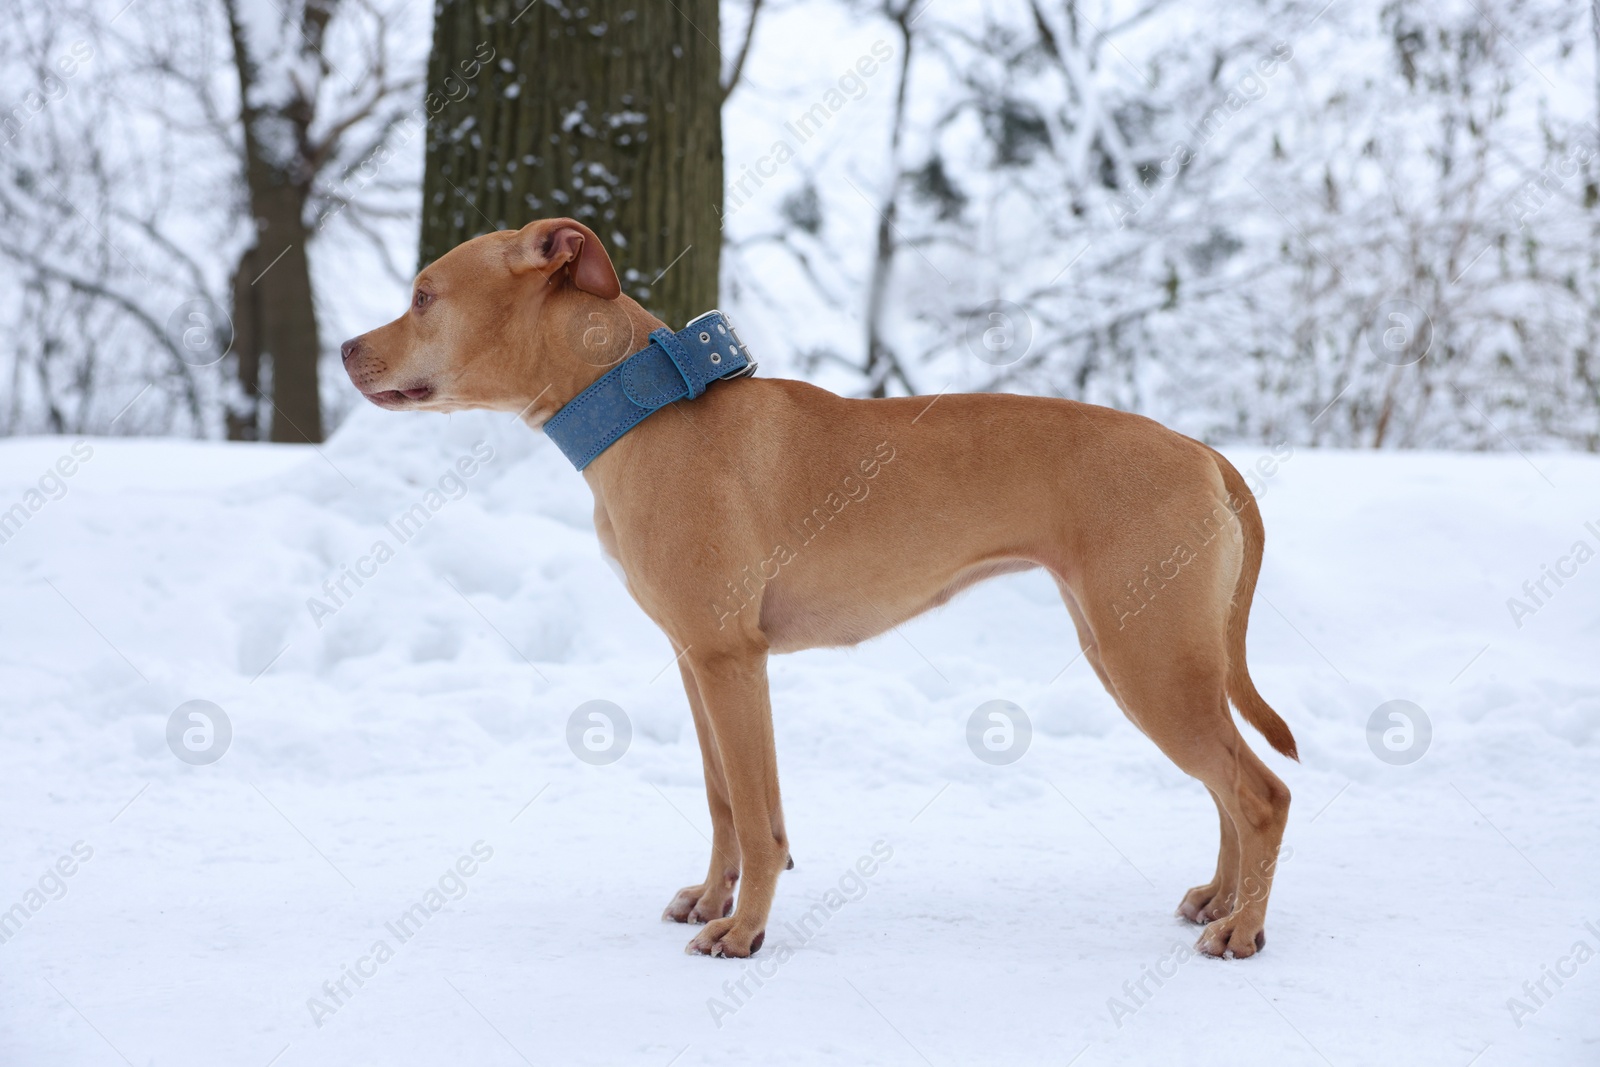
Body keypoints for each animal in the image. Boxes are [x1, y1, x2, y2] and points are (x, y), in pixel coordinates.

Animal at [340, 214, 1299, 959]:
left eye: (423, 295)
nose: (347, 349)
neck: (646, 410)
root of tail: (1201, 452)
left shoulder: (732, 662)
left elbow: (760, 816)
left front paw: (743, 930)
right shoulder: (698, 661)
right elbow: (725, 803)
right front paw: (712, 896)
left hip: (1150, 660)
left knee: (1260, 793)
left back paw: (1243, 930)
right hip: (1145, 653)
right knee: (1226, 786)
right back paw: (1219, 899)